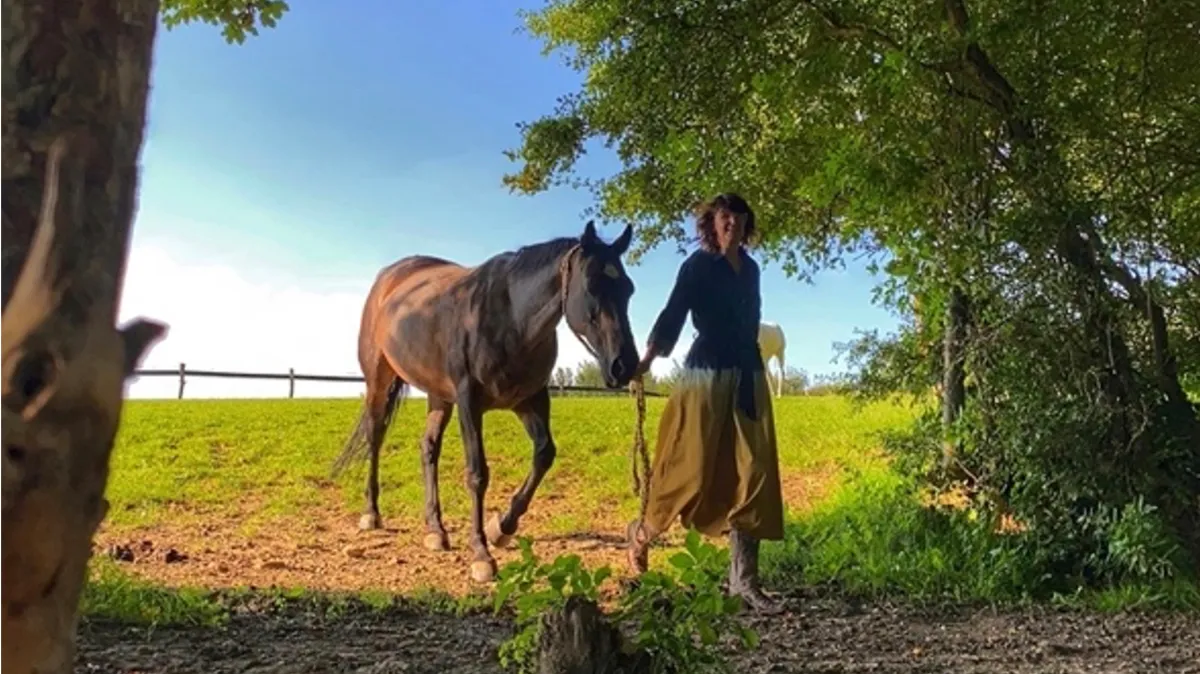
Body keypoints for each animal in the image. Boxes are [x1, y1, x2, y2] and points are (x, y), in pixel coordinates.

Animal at [331, 221, 640, 583]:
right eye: (592, 285)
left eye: (629, 289)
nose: (624, 365)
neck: (511, 318)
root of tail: (389, 280)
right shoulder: (470, 401)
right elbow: (477, 473)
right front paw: (481, 553)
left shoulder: (530, 399)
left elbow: (544, 455)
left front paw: (501, 528)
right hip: (379, 381)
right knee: (375, 438)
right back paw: (372, 513)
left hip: (439, 396)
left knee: (428, 449)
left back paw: (435, 529)